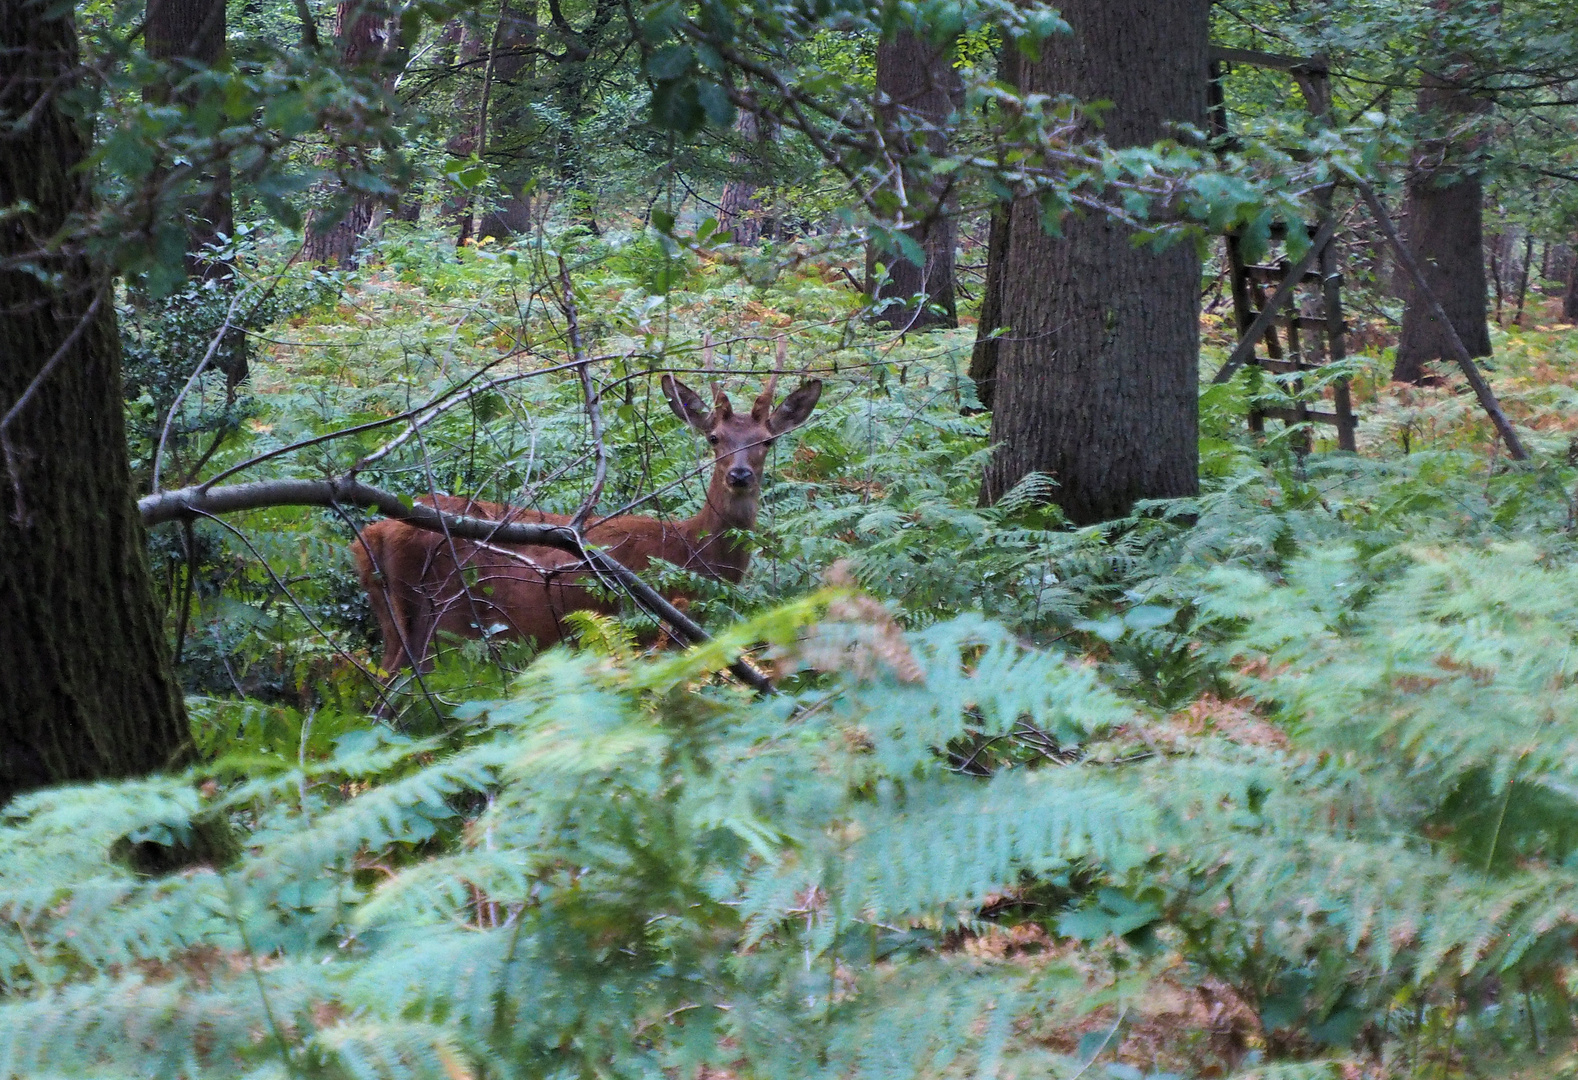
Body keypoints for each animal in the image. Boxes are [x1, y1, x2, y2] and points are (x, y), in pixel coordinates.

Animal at [355, 371, 826, 675]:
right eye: (714, 438)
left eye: (767, 441)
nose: (740, 475)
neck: (691, 552)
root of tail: (369, 536)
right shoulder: (652, 635)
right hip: (441, 625)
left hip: (398, 625)